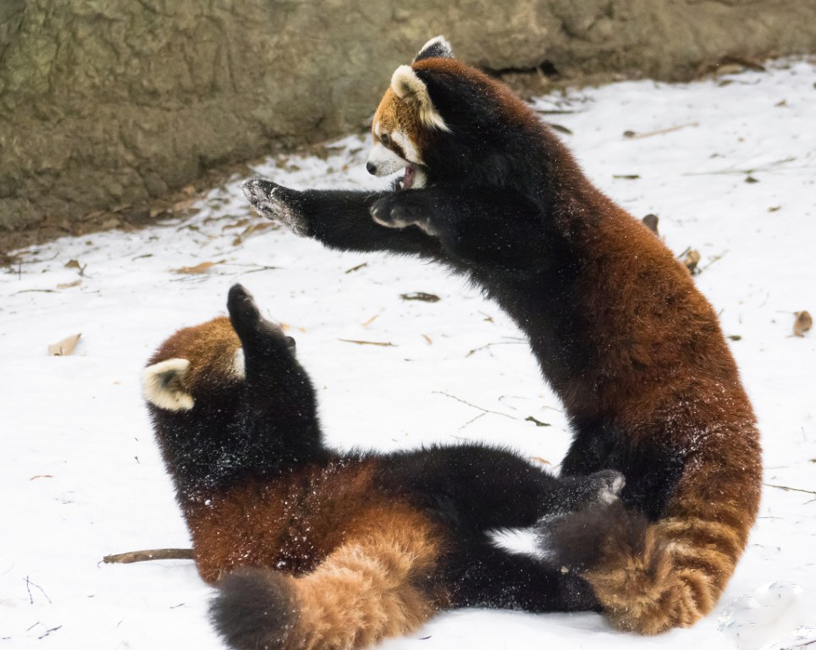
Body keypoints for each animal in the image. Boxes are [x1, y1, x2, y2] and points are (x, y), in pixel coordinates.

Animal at [140, 284, 624, 648]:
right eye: (239, 350)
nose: (291, 339)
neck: (193, 443)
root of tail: (375, 527)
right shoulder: (245, 452)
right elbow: (287, 399)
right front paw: (246, 315)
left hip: (457, 566)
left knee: (516, 580)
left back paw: (584, 590)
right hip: (399, 484)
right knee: (483, 472)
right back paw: (587, 490)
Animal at [242, 36, 764, 632]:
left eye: (383, 137)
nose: (371, 166)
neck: (483, 161)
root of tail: (727, 414)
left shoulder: (540, 217)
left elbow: (511, 234)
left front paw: (401, 203)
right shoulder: (445, 236)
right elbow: (355, 223)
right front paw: (279, 199)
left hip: (640, 428)